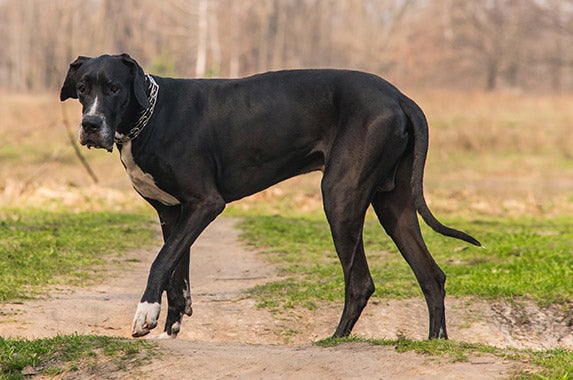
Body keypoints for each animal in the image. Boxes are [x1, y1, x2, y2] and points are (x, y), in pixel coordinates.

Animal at [59, 52, 478, 338]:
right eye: (82, 89)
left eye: (114, 88)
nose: (90, 125)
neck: (150, 116)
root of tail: (398, 95)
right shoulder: (172, 212)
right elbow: (178, 270)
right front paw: (171, 327)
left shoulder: (205, 204)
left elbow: (161, 262)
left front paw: (145, 314)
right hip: (394, 207)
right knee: (431, 276)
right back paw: (434, 342)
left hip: (340, 197)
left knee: (360, 283)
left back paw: (333, 340)